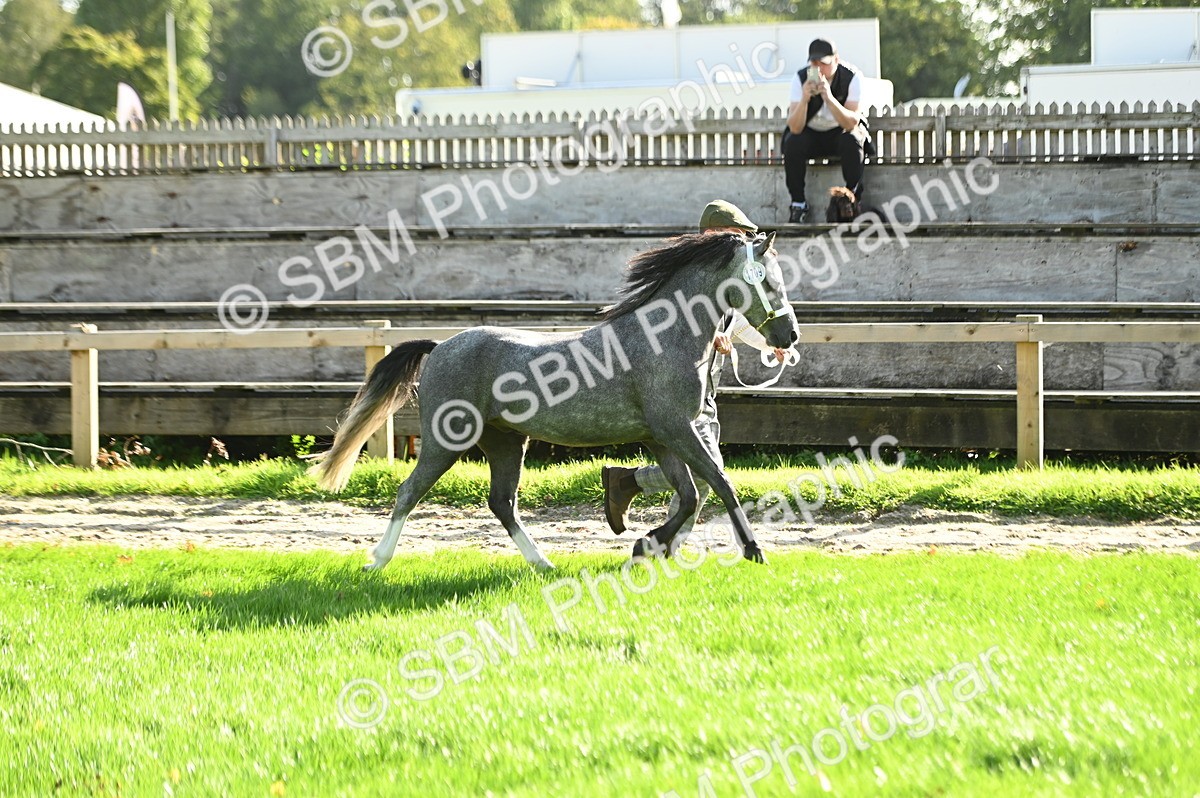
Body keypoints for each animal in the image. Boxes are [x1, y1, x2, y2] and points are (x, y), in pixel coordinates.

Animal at [309, 230, 799, 572]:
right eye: (771, 283)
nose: (789, 336)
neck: (662, 338)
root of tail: (441, 346)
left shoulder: (662, 436)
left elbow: (691, 495)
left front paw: (644, 545)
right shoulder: (675, 428)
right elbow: (720, 484)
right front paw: (754, 551)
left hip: (505, 442)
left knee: (502, 503)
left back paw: (543, 562)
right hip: (445, 442)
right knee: (410, 491)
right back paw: (377, 560)